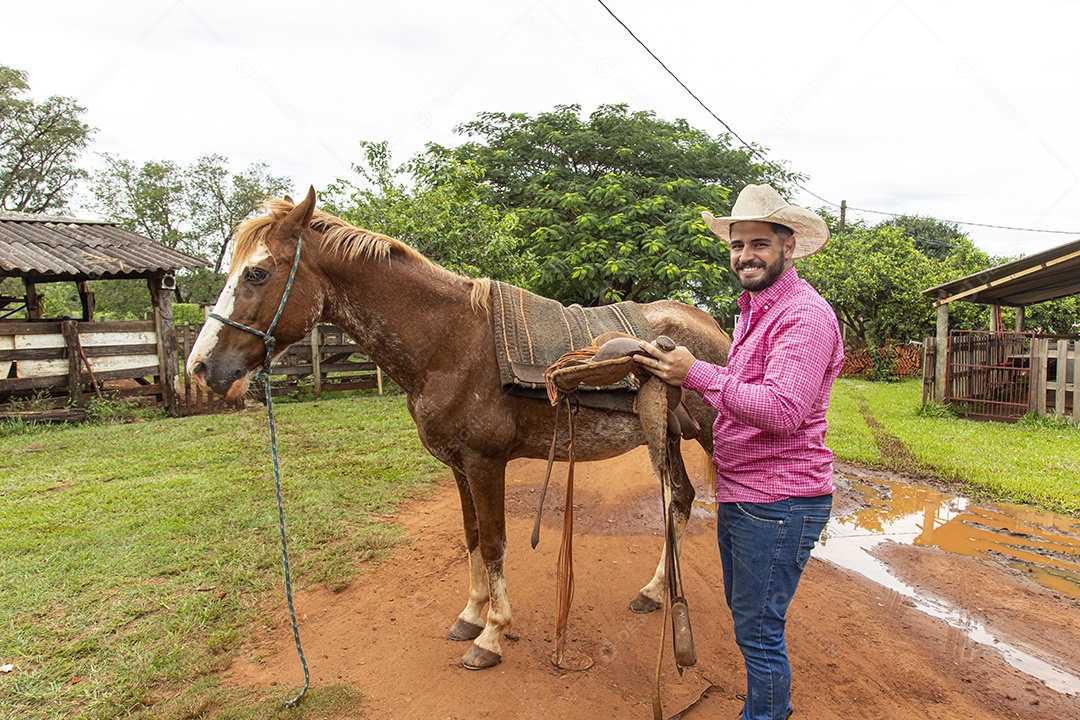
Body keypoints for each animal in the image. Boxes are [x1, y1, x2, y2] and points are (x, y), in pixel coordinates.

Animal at [187, 187, 734, 669]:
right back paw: (654, 592)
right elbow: (471, 537)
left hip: (702, 435)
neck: (448, 343)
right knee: (680, 499)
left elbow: (493, 543)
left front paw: (491, 635)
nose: (201, 368)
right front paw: (471, 615)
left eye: (257, 272)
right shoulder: (458, 465)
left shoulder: (485, 463)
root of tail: (711, 326)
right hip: (665, 435)